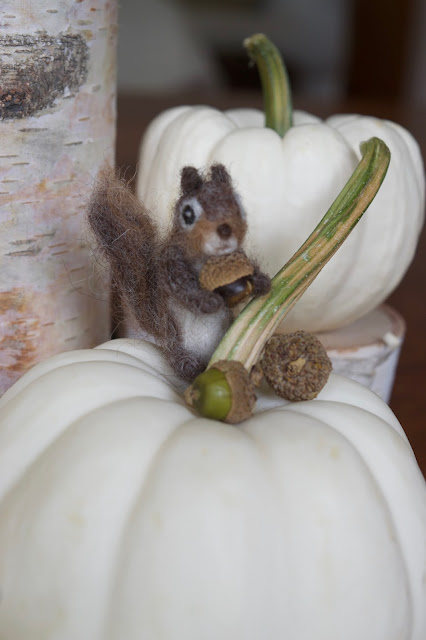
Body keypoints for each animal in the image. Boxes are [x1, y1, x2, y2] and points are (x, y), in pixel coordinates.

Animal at [88, 162, 272, 380]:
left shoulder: (238, 255)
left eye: (239, 206)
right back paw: (193, 367)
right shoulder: (171, 262)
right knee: (182, 362)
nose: (225, 230)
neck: (206, 258)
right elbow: (184, 287)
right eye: (188, 214)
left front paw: (261, 281)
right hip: (176, 337)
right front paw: (208, 301)